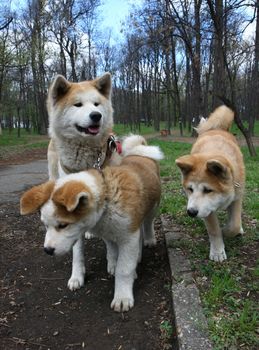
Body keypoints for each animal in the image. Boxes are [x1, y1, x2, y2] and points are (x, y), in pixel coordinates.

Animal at [21, 135, 166, 314]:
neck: (108, 198)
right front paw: (114, 264)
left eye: (63, 225)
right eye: (45, 225)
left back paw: (149, 240)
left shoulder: (129, 236)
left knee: (147, 223)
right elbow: (112, 252)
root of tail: (139, 152)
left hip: (152, 208)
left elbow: (124, 269)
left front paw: (122, 296)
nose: (47, 250)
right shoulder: (110, 233)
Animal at [177, 106, 246, 262]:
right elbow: (214, 230)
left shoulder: (237, 197)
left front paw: (227, 230)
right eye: (190, 189)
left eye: (208, 190)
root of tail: (216, 128)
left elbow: (234, 224)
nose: (191, 212)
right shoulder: (207, 209)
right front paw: (218, 251)